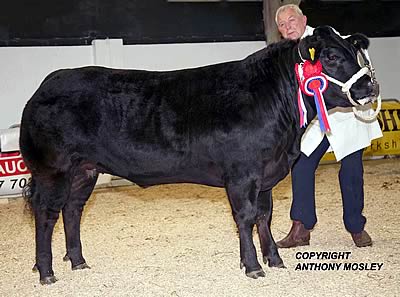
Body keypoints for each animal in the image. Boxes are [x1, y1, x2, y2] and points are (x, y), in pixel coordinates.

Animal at [18, 26, 376, 282]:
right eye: (330, 57)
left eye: (354, 53)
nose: (369, 87)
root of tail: (48, 83)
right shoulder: (242, 173)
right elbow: (245, 217)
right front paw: (253, 266)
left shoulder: (265, 175)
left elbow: (264, 217)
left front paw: (274, 259)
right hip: (53, 170)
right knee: (47, 215)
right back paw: (46, 272)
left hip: (84, 170)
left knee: (73, 210)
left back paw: (78, 262)